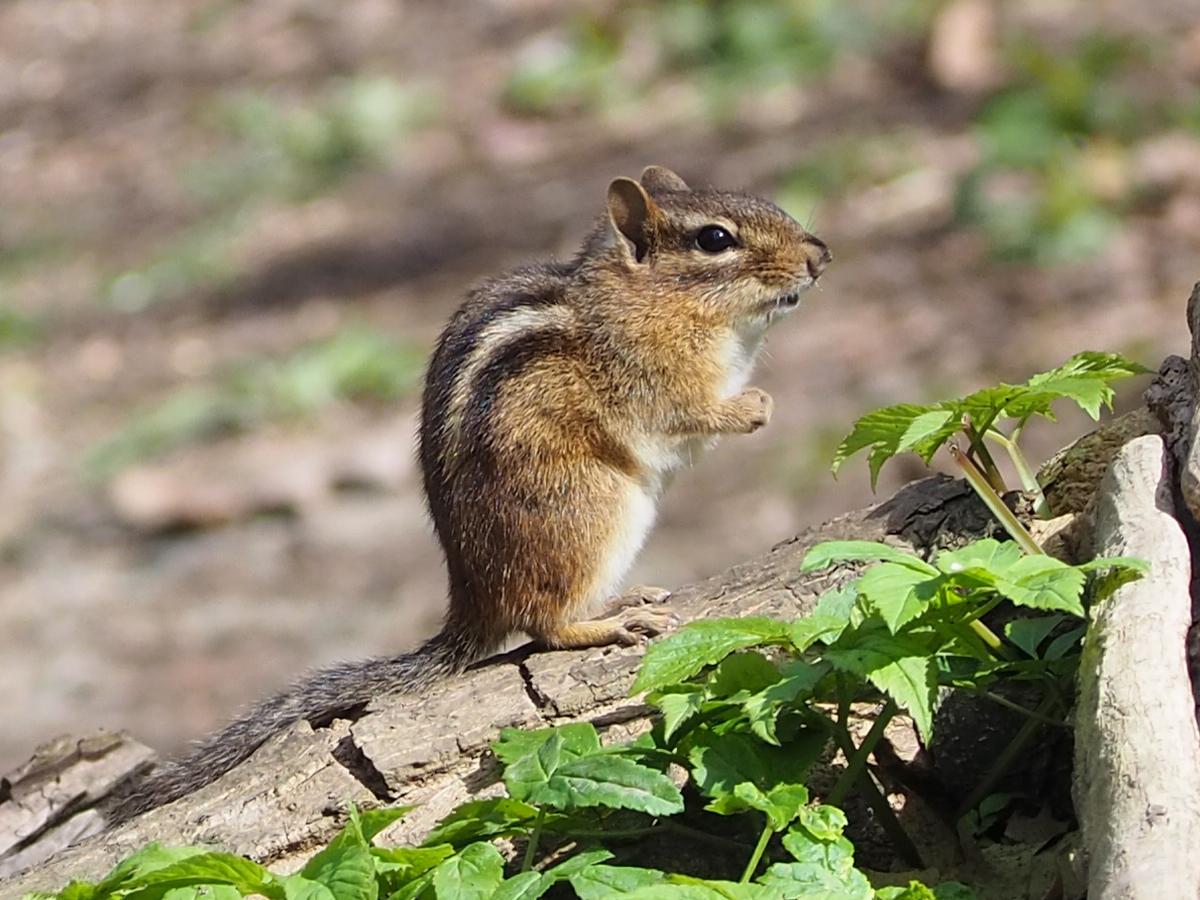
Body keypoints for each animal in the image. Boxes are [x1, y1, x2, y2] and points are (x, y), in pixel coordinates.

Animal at [105, 165, 831, 823]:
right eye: (715, 239)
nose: (820, 254)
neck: (645, 297)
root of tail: (472, 599)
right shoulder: (652, 379)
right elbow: (689, 414)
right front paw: (755, 407)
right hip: (595, 509)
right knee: (543, 624)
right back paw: (612, 622)